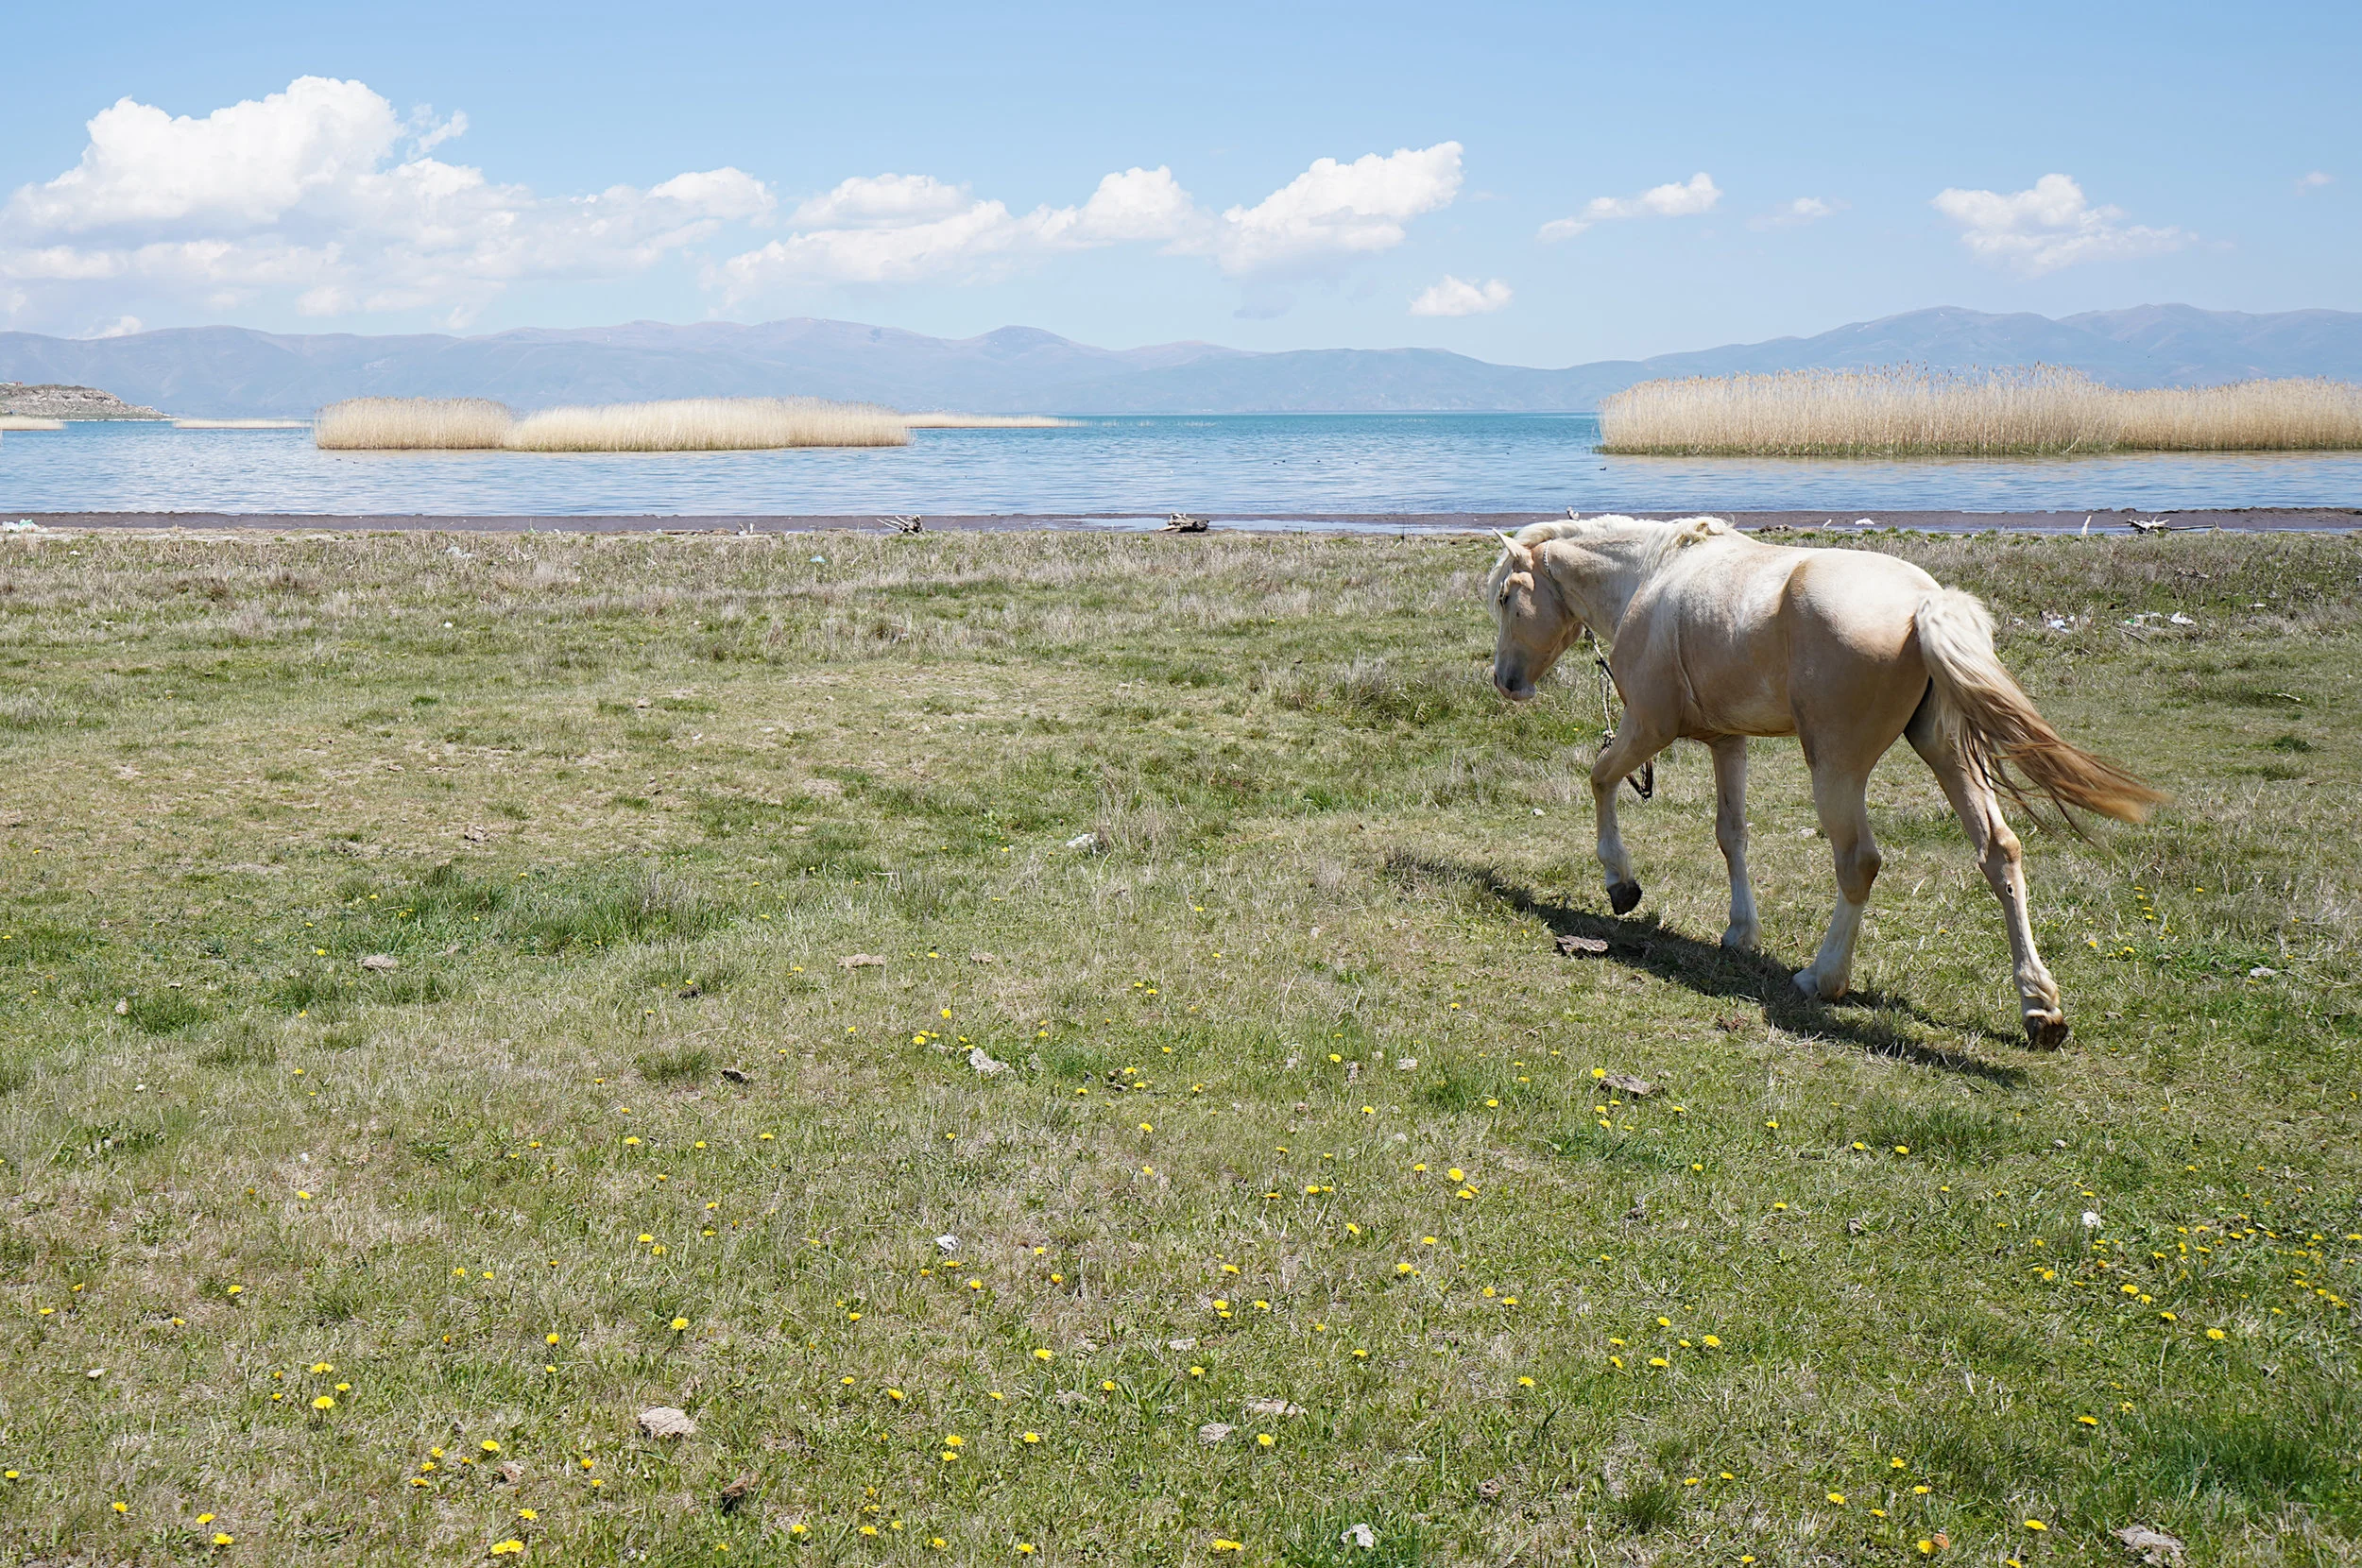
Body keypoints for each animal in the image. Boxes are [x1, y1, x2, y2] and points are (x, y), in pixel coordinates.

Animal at [1486, 514, 2163, 1046]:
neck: (1650, 577)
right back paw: (2039, 1006)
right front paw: (1740, 931)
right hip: (1948, 756)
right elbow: (1732, 834)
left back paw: (1824, 977)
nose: (1505, 682)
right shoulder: (1727, 743)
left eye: (1505, 598)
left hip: (1836, 768)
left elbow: (1599, 780)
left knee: (1858, 861)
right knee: (2000, 853)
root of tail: (1925, 603)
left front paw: (1621, 884)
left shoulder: (1648, 727)